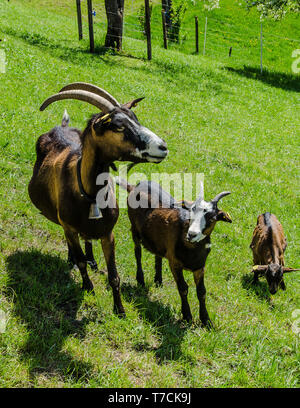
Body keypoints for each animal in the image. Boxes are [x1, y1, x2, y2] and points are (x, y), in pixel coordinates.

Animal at [27, 82, 169, 316]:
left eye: (136, 118)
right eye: (118, 127)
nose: (163, 147)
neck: (90, 194)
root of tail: (61, 126)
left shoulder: (108, 233)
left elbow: (114, 275)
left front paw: (119, 309)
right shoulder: (69, 225)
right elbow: (81, 263)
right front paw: (88, 288)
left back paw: (92, 258)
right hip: (65, 224)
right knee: (73, 243)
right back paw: (74, 258)